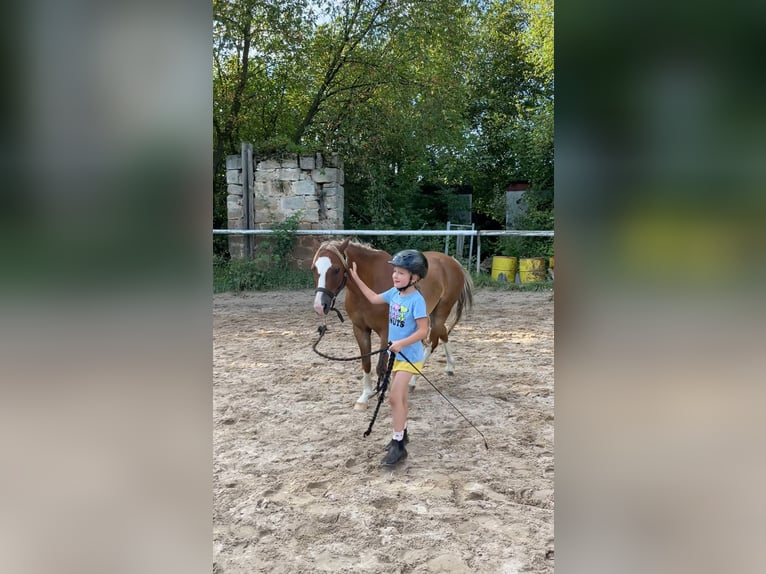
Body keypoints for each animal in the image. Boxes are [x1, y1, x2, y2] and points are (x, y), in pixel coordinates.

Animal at [312, 237, 474, 410]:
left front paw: (381, 392)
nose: (320, 306)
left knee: (433, 342)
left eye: (336, 269)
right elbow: (366, 363)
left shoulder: (386, 332)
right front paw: (365, 397)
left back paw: (412, 381)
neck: (369, 284)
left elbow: (380, 366)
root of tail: (453, 262)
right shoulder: (360, 329)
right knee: (443, 333)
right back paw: (450, 366)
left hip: (440, 312)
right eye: (314, 268)